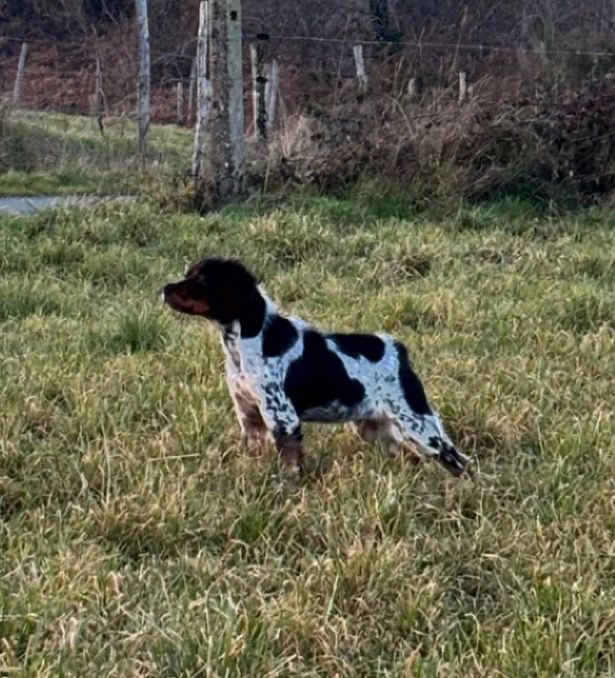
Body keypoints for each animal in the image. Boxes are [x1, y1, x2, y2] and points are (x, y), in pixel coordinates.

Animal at [164, 258, 472, 480]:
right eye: (188, 273)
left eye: (201, 280)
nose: (165, 288)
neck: (245, 342)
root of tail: (397, 348)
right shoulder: (249, 417)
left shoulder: (283, 419)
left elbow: (289, 467)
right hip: (375, 427)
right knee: (413, 456)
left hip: (417, 422)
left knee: (459, 461)